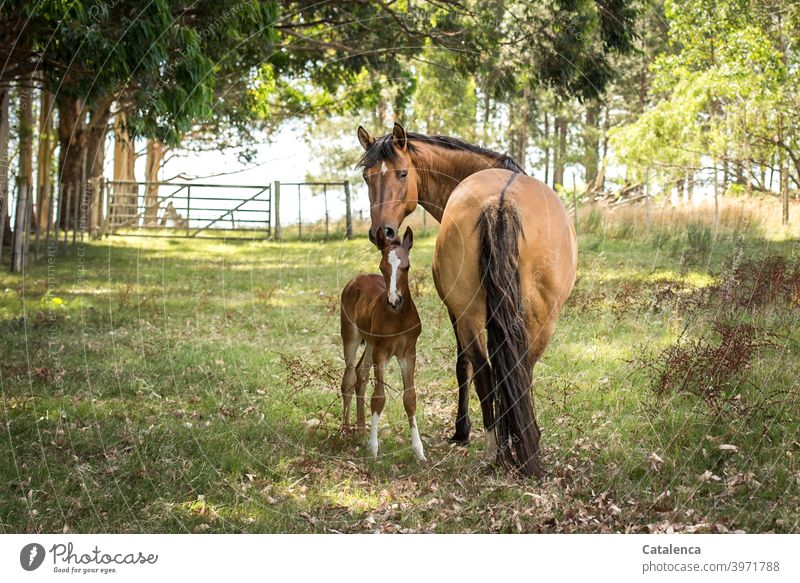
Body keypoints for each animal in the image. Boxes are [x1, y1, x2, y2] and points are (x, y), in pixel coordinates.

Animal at [338, 228, 424, 460]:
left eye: (407, 267)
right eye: (382, 267)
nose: (394, 301)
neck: (398, 317)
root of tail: (356, 279)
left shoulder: (408, 353)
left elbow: (410, 397)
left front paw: (419, 450)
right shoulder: (382, 352)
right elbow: (378, 397)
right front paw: (373, 448)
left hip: (369, 344)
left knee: (361, 373)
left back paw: (360, 428)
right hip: (351, 337)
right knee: (349, 378)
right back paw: (346, 430)